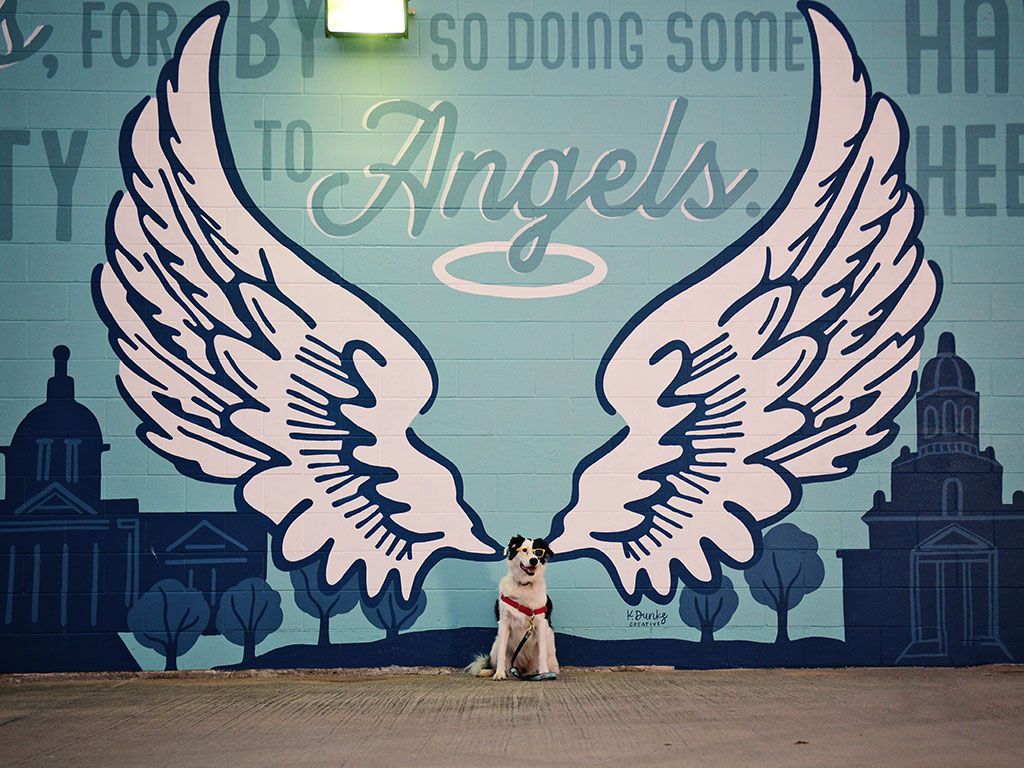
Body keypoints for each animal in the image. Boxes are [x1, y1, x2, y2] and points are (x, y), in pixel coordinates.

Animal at [466, 536, 561, 679]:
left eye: (538, 552)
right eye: (524, 550)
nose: (534, 560)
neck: (524, 585)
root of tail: (520, 669)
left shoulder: (540, 623)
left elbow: (542, 654)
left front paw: (544, 673)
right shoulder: (504, 623)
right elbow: (502, 653)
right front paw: (499, 674)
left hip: (550, 641)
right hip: (496, 644)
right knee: (496, 660)